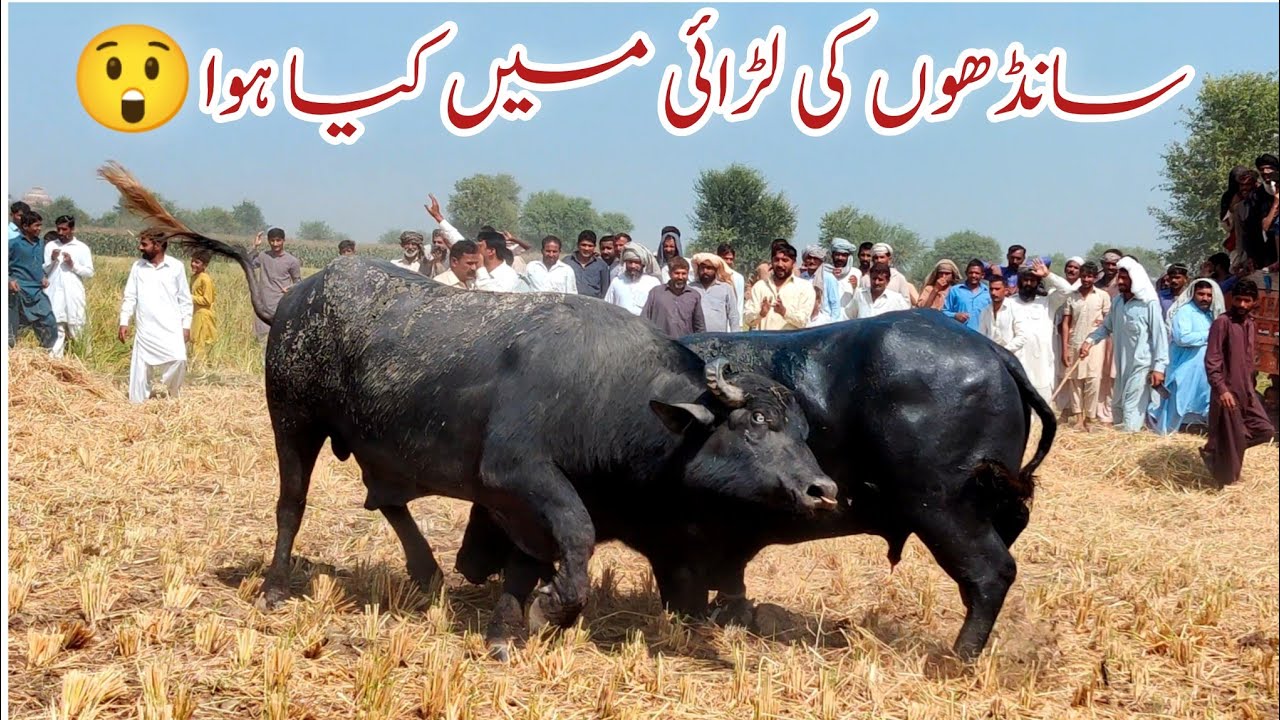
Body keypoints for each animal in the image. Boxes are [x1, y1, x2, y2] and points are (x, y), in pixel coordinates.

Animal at [98, 162, 839, 660]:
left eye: (803, 429)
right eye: (753, 425)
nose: (822, 488)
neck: (608, 396)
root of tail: (296, 297)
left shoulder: (517, 502)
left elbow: (528, 560)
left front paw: (508, 628)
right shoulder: (517, 477)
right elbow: (573, 541)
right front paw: (546, 612)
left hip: (377, 444)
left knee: (385, 497)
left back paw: (426, 571)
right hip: (293, 421)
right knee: (292, 502)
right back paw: (279, 585)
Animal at [454, 309, 1057, 660]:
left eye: (491, 506)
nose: (465, 562)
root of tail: (996, 354)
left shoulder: (678, 546)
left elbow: (686, 596)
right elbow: (730, 588)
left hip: (947, 512)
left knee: (991, 574)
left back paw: (956, 658)